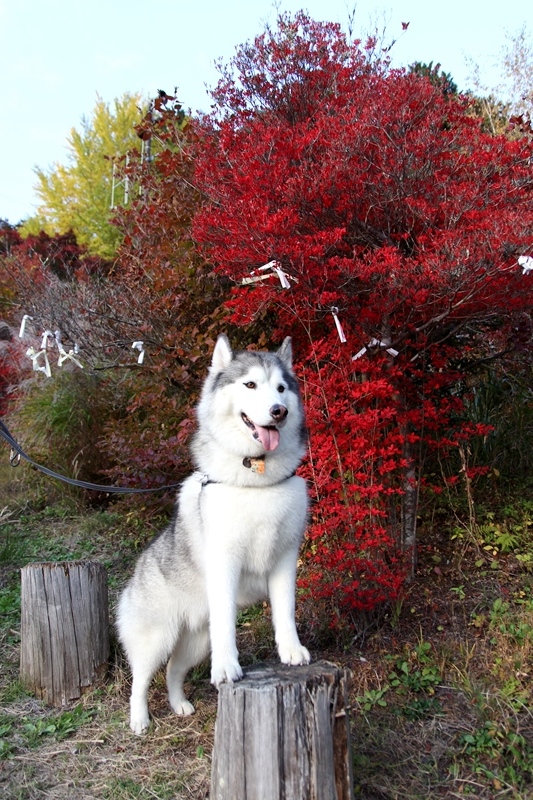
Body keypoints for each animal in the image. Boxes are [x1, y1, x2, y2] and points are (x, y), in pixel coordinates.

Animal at [116, 334, 308, 736]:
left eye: (281, 389)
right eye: (250, 385)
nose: (278, 411)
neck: (256, 480)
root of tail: (139, 565)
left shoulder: (285, 560)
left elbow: (285, 612)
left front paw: (291, 651)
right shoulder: (225, 565)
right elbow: (226, 626)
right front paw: (227, 668)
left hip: (194, 642)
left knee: (173, 672)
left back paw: (179, 704)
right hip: (156, 637)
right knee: (140, 678)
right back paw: (139, 718)